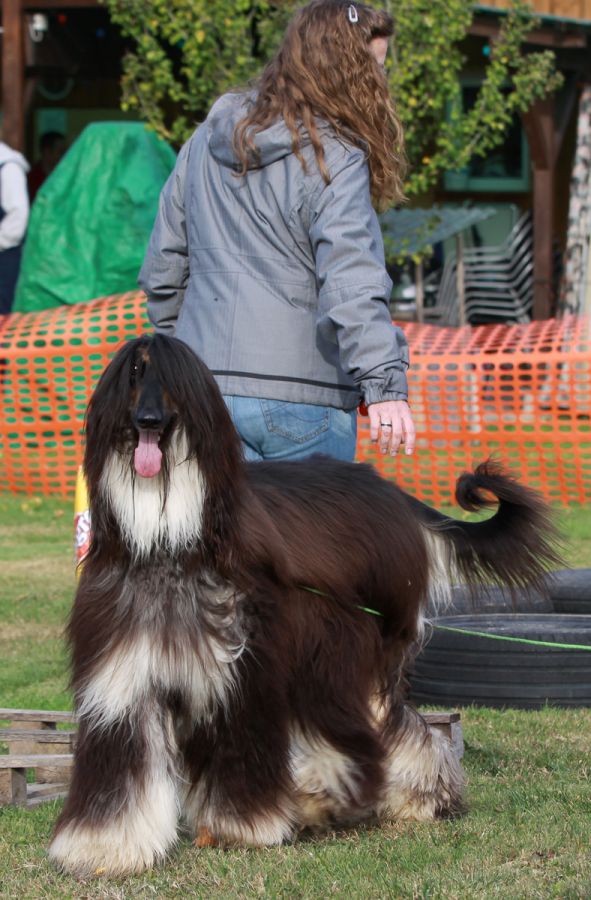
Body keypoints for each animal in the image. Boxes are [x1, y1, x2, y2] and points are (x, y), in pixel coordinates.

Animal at [49, 334, 559, 877]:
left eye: (172, 381)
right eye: (132, 374)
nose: (147, 420)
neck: (170, 543)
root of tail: (394, 494)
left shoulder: (244, 674)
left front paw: (245, 828)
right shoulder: (123, 678)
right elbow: (122, 767)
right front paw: (104, 847)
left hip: (352, 647)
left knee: (382, 726)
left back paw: (407, 797)